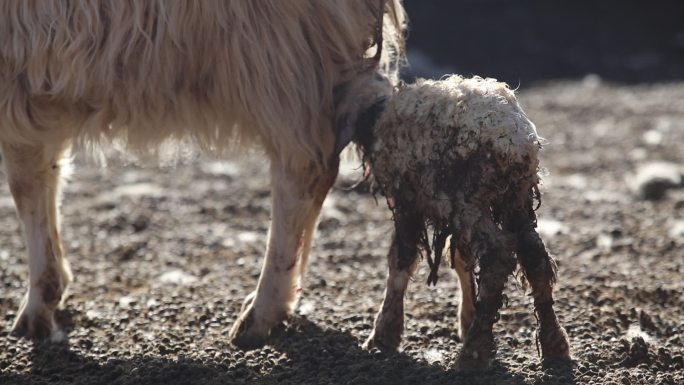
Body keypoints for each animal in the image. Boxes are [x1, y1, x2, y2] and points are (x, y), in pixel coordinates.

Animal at [0, 0, 406, 348]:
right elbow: (41, 179)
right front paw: (50, 292)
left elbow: (26, 186)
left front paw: (39, 304)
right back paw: (291, 297)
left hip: (279, 57)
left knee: (302, 168)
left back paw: (262, 312)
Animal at [334, 70, 568, 368]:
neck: (377, 112)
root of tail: (513, 140)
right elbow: (461, 260)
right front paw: (465, 318)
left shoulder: (406, 199)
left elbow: (401, 258)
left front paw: (384, 335)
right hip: (517, 198)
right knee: (535, 257)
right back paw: (554, 345)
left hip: (469, 198)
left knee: (497, 256)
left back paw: (473, 353)